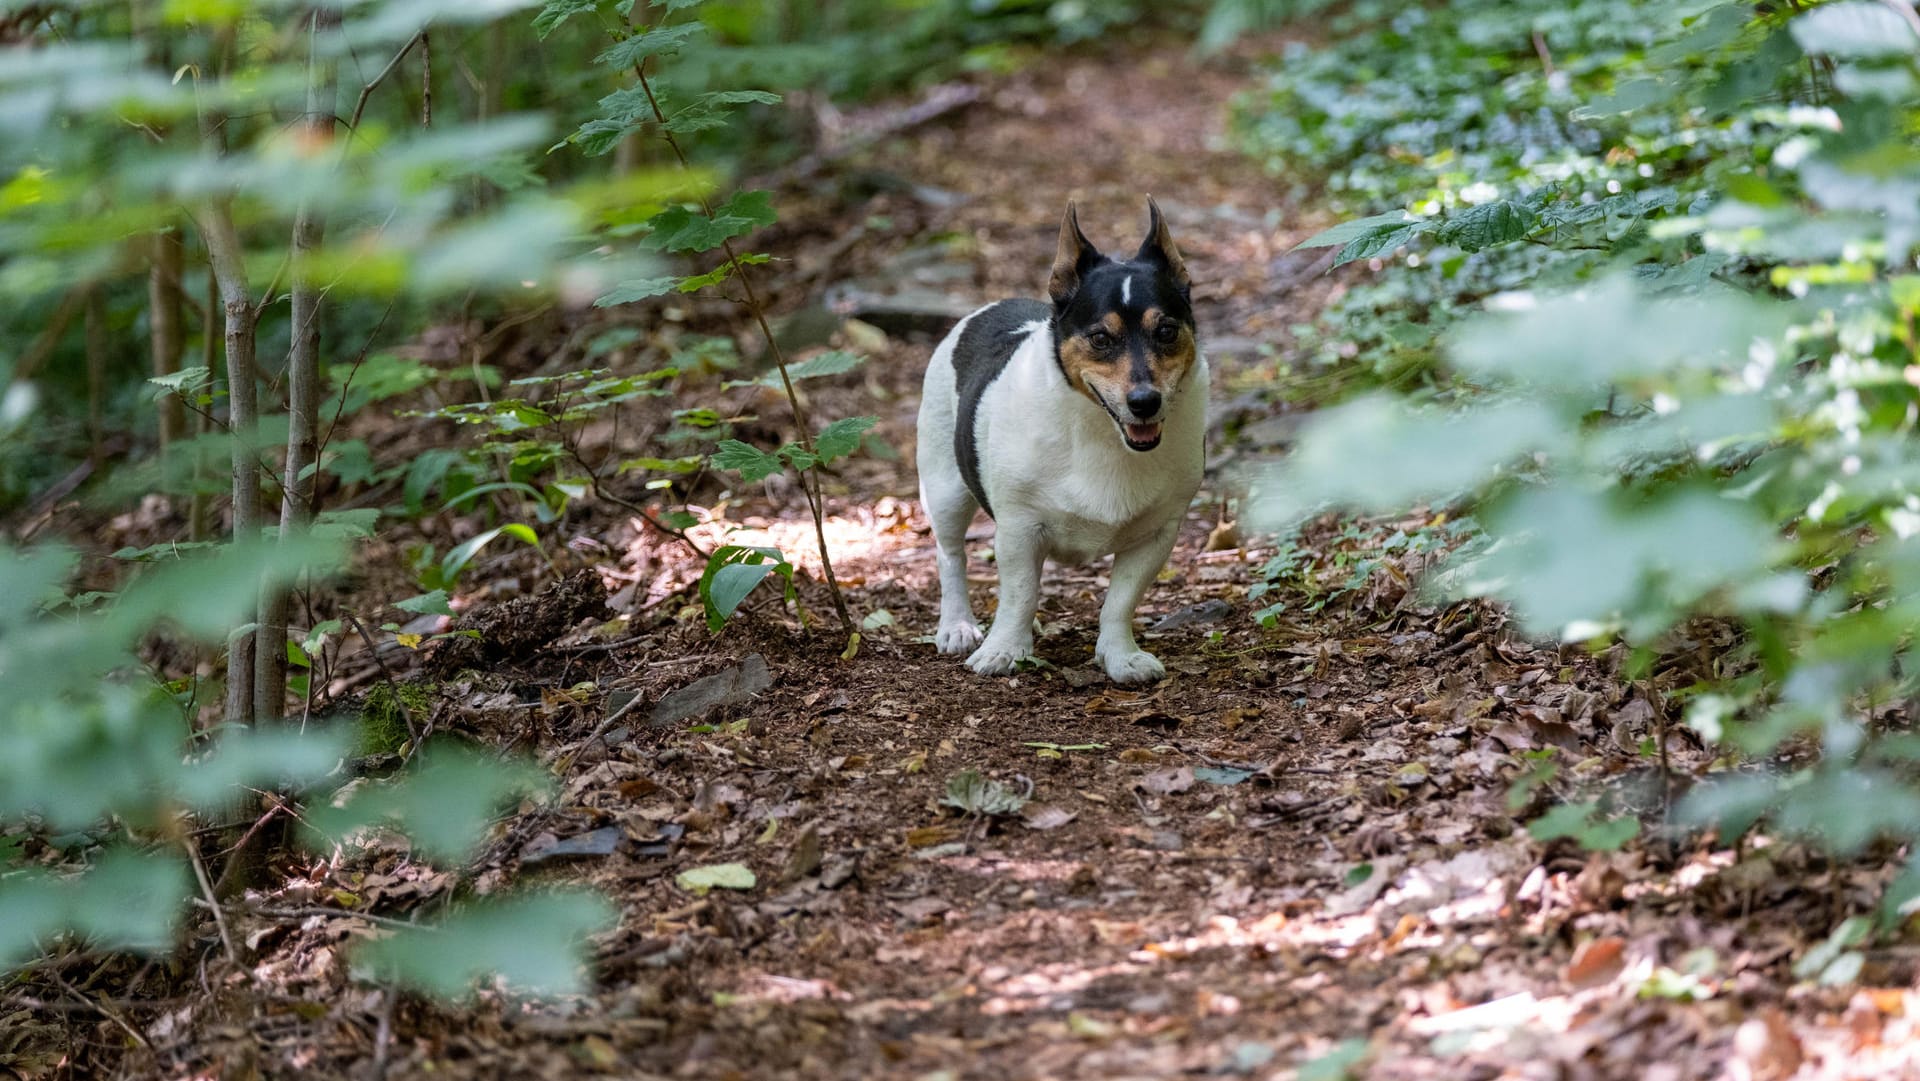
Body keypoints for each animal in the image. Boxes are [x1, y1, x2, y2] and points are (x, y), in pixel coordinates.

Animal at [910, 196, 1198, 683]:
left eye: (1166, 331)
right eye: (1100, 338)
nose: (1145, 402)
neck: (1102, 431)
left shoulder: (1157, 535)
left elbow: (1120, 601)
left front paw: (1120, 656)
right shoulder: (1019, 529)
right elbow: (1020, 593)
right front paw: (1004, 650)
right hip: (944, 488)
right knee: (950, 555)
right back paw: (957, 626)